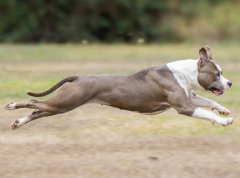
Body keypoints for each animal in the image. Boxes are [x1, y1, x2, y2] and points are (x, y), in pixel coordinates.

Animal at [3, 46, 232, 129]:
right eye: (217, 73)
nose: (230, 83)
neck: (186, 73)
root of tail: (78, 78)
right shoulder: (183, 106)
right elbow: (206, 112)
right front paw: (223, 121)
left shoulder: (189, 98)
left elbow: (209, 101)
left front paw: (223, 110)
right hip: (64, 103)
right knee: (34, 102)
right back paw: (11, 106)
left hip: (59, 105)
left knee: (37, 110)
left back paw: (17, 122)